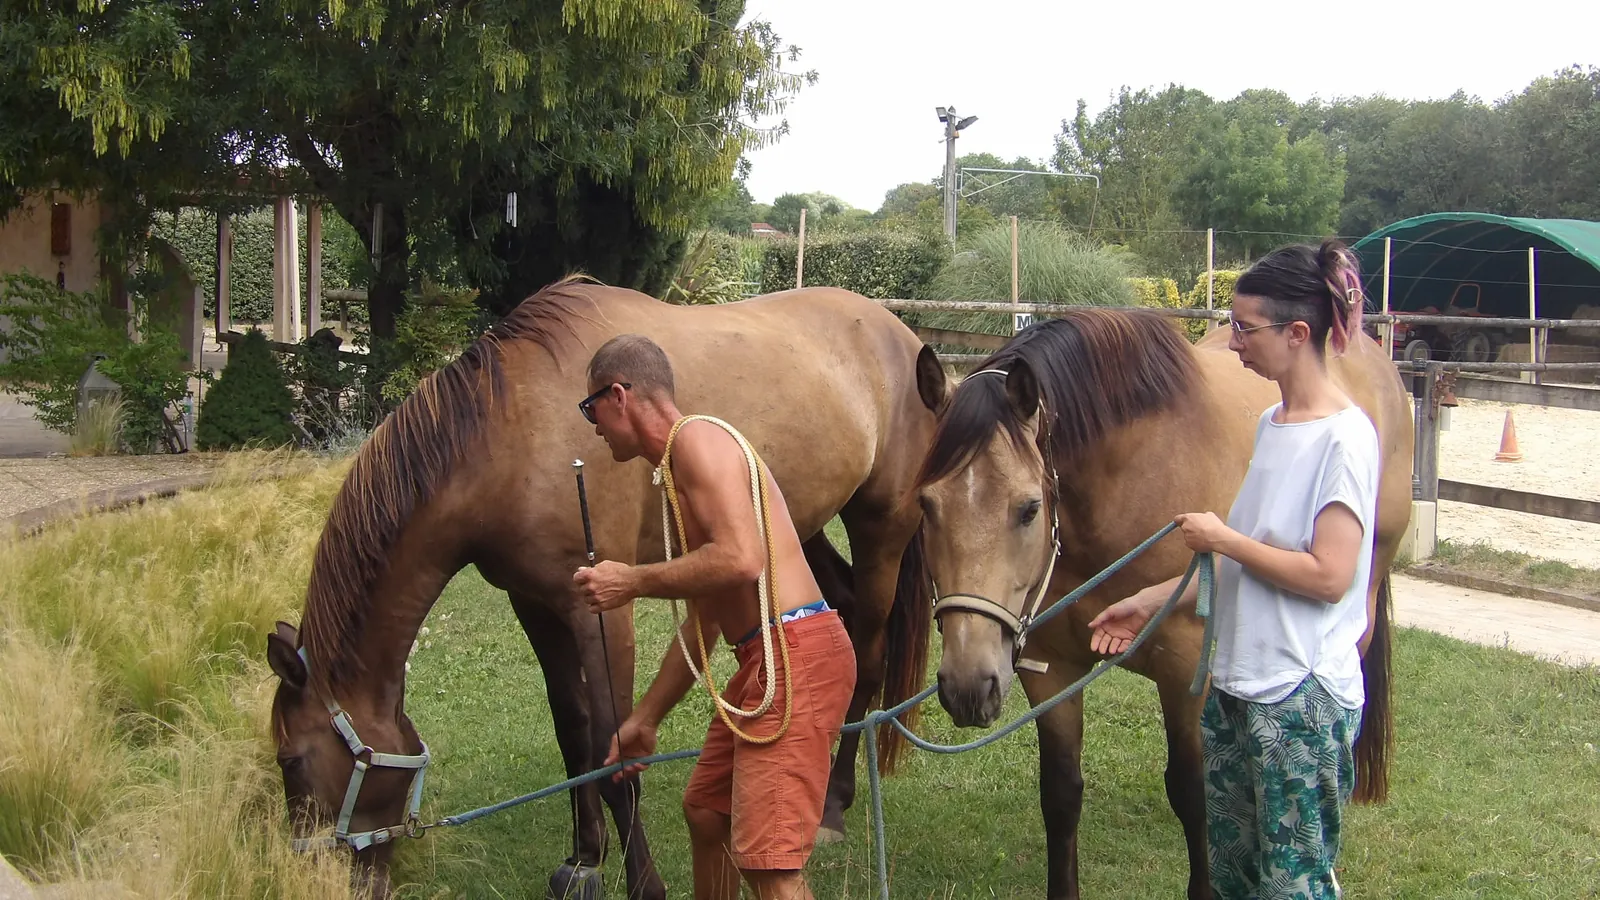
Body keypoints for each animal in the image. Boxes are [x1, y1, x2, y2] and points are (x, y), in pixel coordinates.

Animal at [263, 278, 938, 898]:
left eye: (290, 761)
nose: (317, 873)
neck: (512, 429)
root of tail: (903, 336)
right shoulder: (536, 605)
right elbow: (575, 734)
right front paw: (585, 859)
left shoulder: (602, 613)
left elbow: (614, 753)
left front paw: (644, 882)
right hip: (800, 524)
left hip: (880, 528)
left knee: (869, 652)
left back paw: (833, 804)